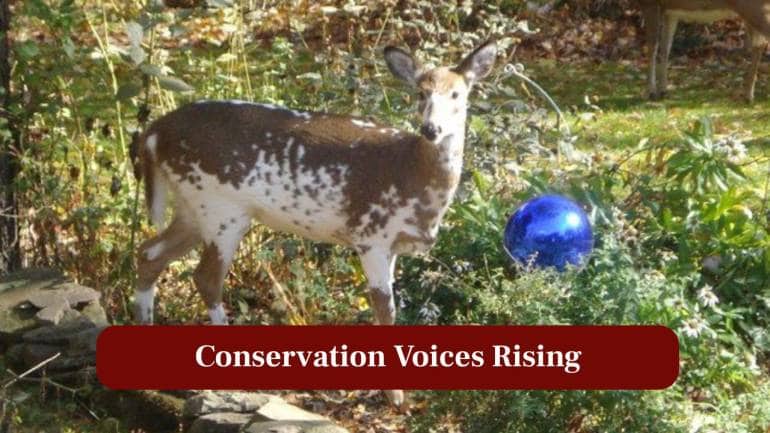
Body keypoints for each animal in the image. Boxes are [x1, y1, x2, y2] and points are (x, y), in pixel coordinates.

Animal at [130, 40, 497, 407]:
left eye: (457, 94)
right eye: (421, 93)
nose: (431, 129)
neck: (411, 175)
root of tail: (154, 133)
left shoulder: (392, 244)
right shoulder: (371, 235)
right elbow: (385, 307)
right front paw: (396, 397)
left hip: (192, 207)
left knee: (149, 253)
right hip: (220, 206)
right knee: (205, 277)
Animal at [641, 0, 770, 102]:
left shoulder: (650, 3)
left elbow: (652, 48)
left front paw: (650, 92)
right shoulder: (670, 12)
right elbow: (665, 48)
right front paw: (663, 90)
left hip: (755, 8)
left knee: (761, 42)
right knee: (759, 45)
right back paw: (748, 95)